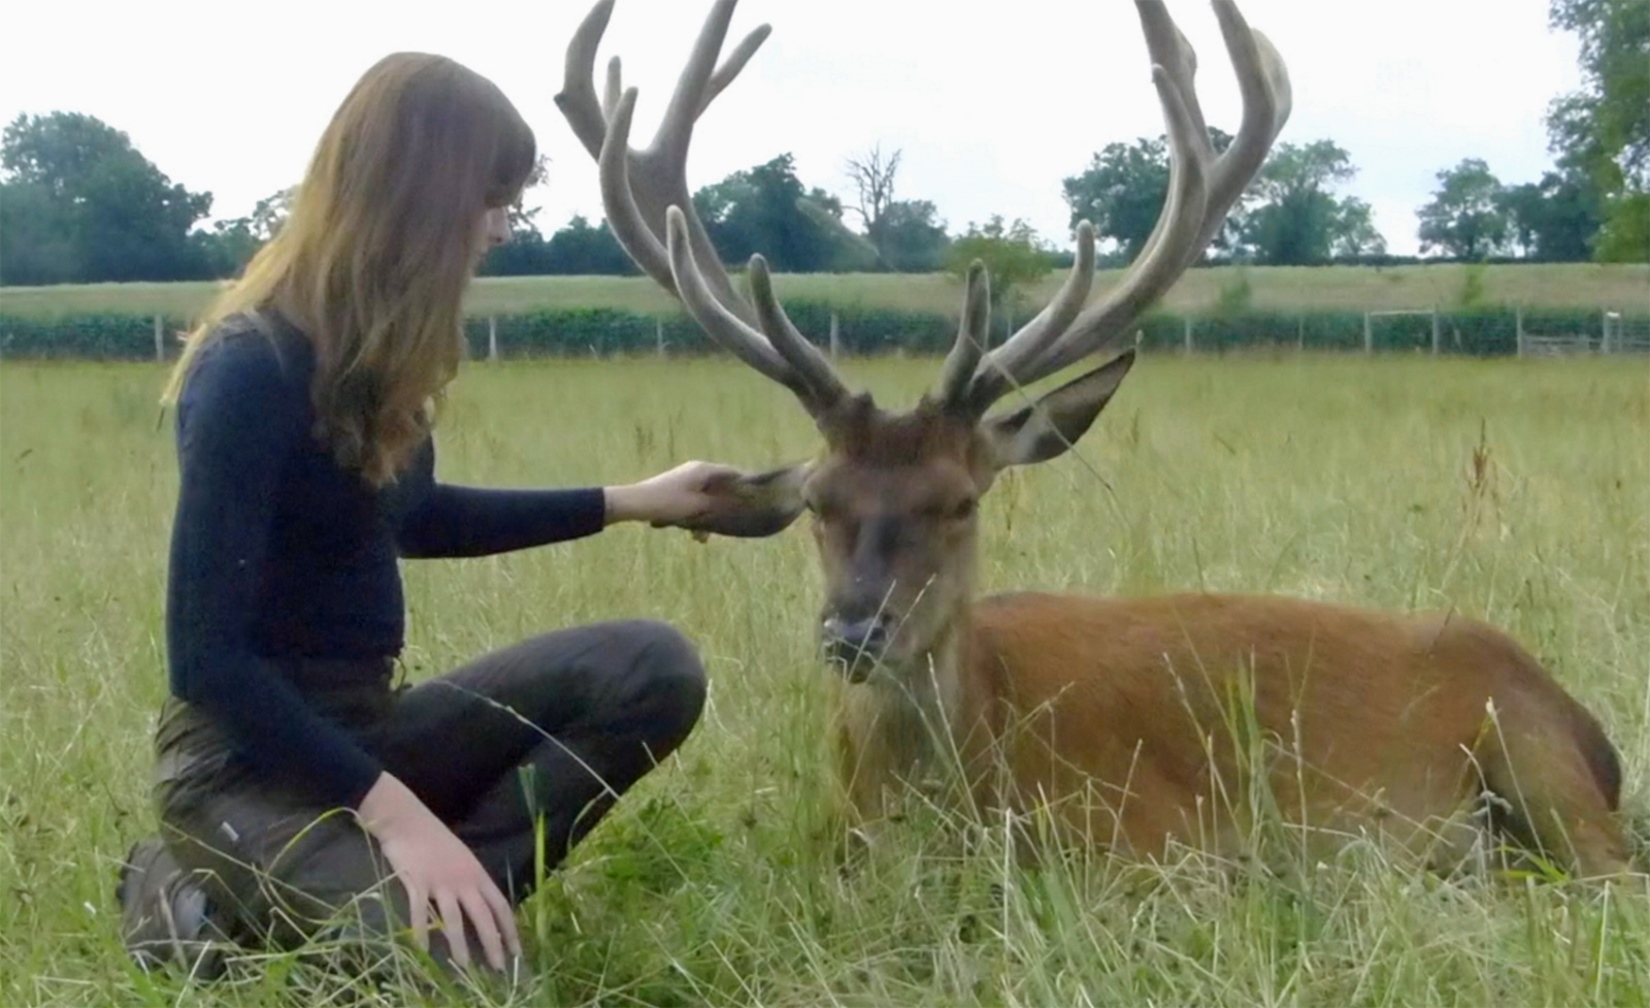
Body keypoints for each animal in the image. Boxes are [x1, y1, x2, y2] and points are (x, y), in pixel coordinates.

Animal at [553, 0, 1633, 880]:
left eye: (961, 500)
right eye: (818, 500)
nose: (855, 632)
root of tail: (1595, 736)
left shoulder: (1157, 845)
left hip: (1540, 772)